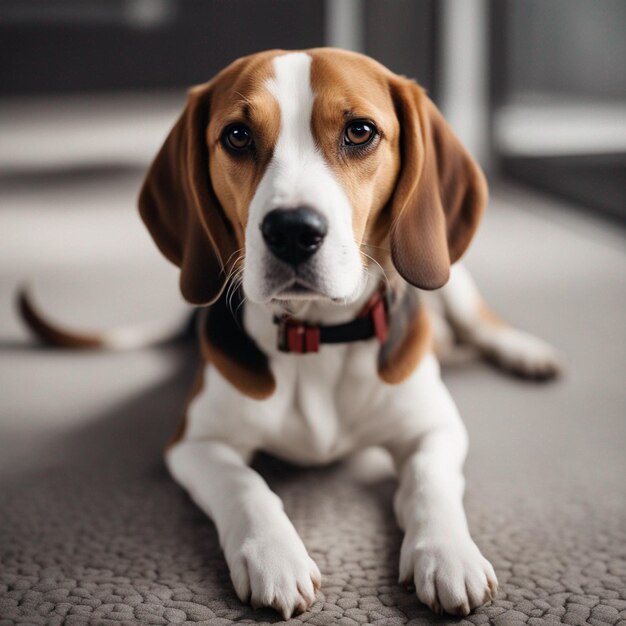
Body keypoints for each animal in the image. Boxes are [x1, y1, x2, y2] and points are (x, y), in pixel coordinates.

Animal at [19, 47, 560, 616]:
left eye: (360, 131)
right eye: (237, 136)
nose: (293, 230)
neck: (315, 335)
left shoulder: (436, 428)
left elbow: (429, 483)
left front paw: (447, 554)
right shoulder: (194, 443)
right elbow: (246, 484)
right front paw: (275, 556)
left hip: (450, 278)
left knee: (479, 319)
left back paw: (525, 351)